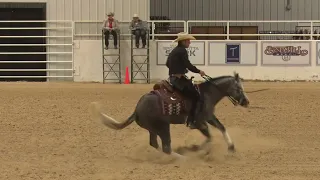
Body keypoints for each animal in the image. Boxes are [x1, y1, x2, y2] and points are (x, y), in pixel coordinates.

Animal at [90, 71, 250, 159]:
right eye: (238, 88)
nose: (246, 102)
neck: (206, 93)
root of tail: (137, 109)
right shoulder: (200, 121)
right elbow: (210, 135)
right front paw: (199, 149)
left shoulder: (209, 117)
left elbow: (221, 129)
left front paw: (230, 148)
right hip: (163, 127)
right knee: (166, 147)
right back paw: (183, 158)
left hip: (153, 129)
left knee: (155, 144)